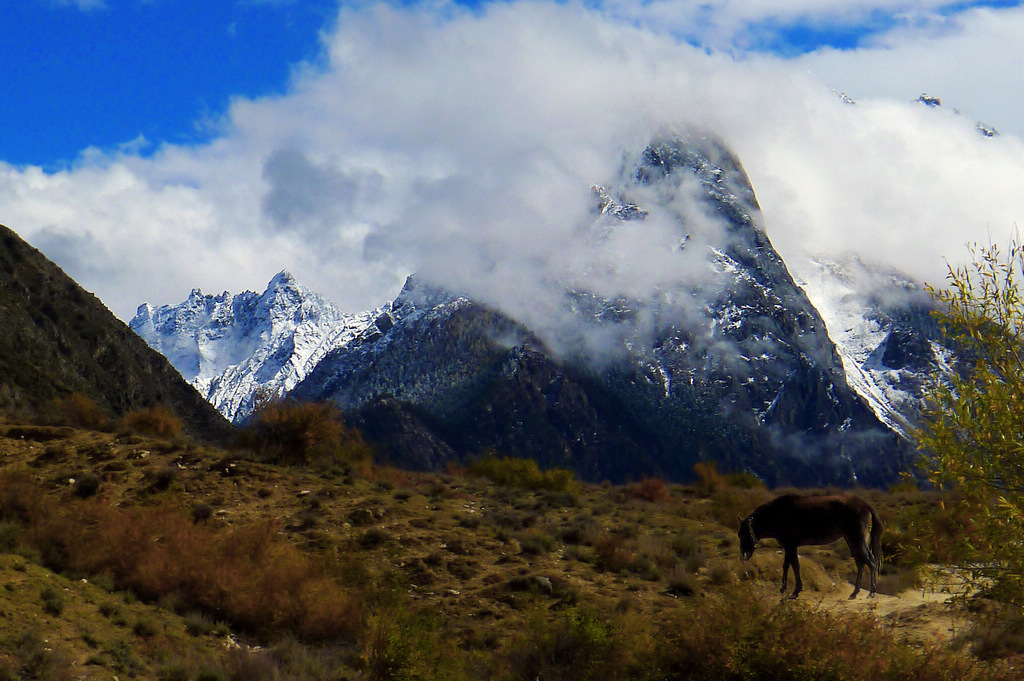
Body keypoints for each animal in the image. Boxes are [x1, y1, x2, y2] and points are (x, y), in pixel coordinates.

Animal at [741, 491, 884, 598]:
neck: (777, 513)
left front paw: (793, 591)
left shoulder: (790, 546)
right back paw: (855, 592)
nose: (743, 557)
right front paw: (787, 589)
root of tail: (865, 504)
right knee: (861, 563)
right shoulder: (790, 546)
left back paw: (871, 592)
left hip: (857, 540)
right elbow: (789, 565)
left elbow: (793, 566)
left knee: (870, 561)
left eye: (744, 534)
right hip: (851, 541)